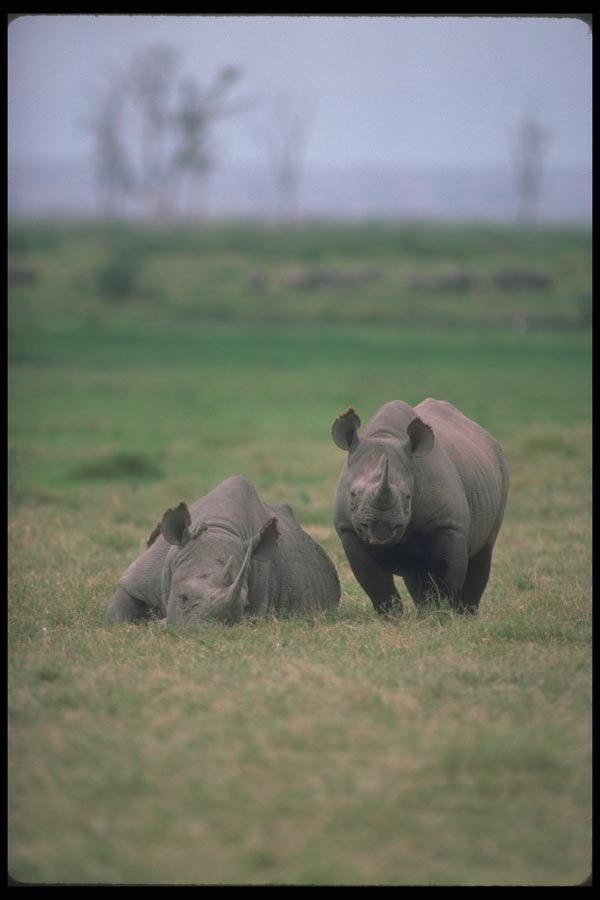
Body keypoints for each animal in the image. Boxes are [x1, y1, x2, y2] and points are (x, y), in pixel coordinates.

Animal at [107, 476, 340, 624]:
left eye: (244, 604)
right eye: (182, 598)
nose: (204, 630)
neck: (219, 528)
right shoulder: (142, 575)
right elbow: (118, 613)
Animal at [331, 399, 508, 616]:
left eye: (408, 497)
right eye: (353, 495)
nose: (381, 526)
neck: (386, 436)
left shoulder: (448, 525)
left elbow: (446, 578)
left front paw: (444, 615)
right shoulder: (348, 530)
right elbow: (376, 584)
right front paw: (392, 618)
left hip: (500, 468)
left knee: (483, 552)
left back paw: (466, 615)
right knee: (416, 576)